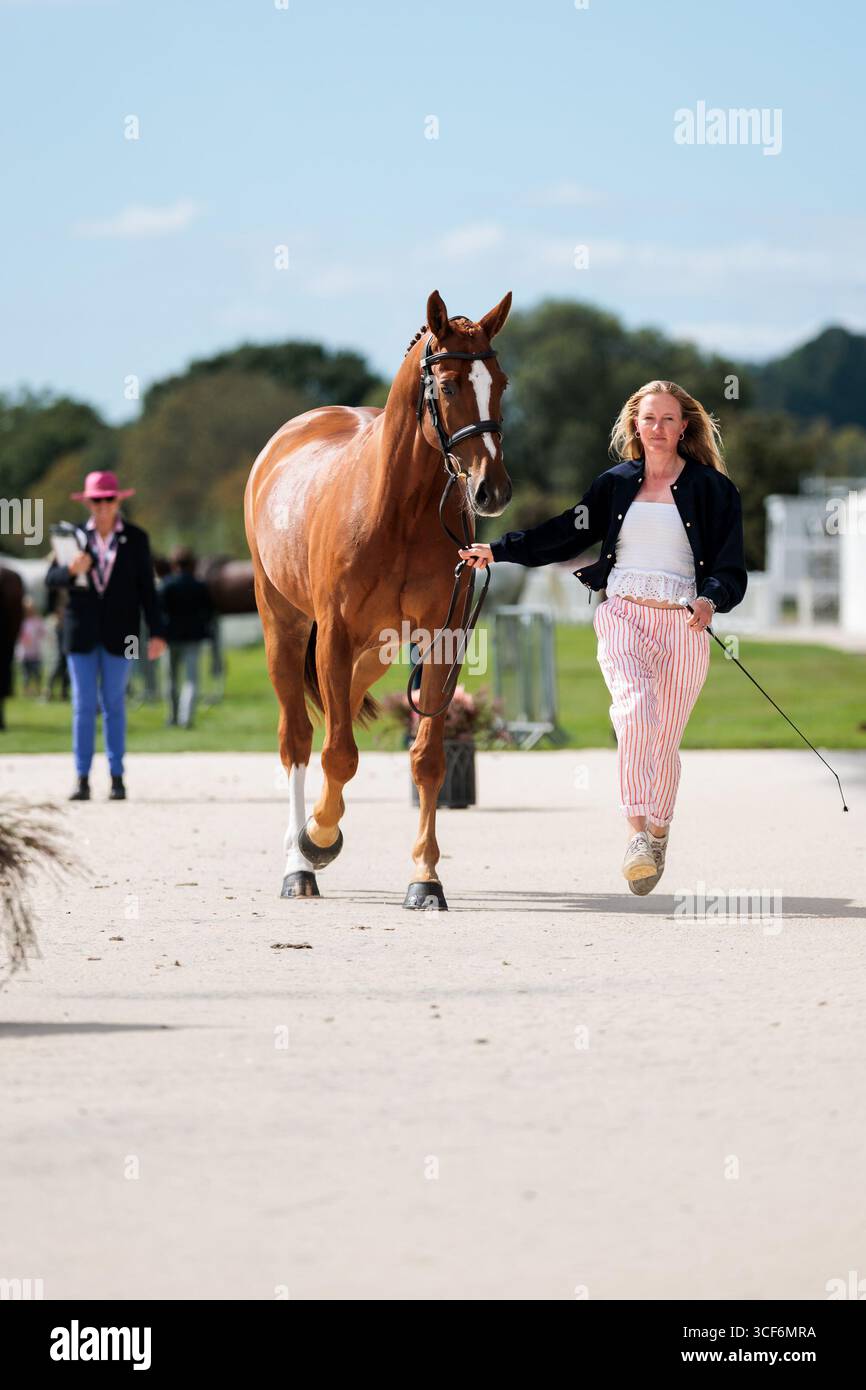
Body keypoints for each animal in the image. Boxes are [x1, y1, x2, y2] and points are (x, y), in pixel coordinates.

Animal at [244, 289, 512, 908]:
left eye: (502, 383)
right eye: (448, 386)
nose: (491, 490)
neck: (397, 510)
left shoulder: (439, 640)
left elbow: (427, 760)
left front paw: (425, 879)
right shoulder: (335, 636)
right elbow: (338, 754)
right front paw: (317, 839)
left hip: (377, 650)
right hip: (285, 630)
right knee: (299, 740)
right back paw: (299, 864)